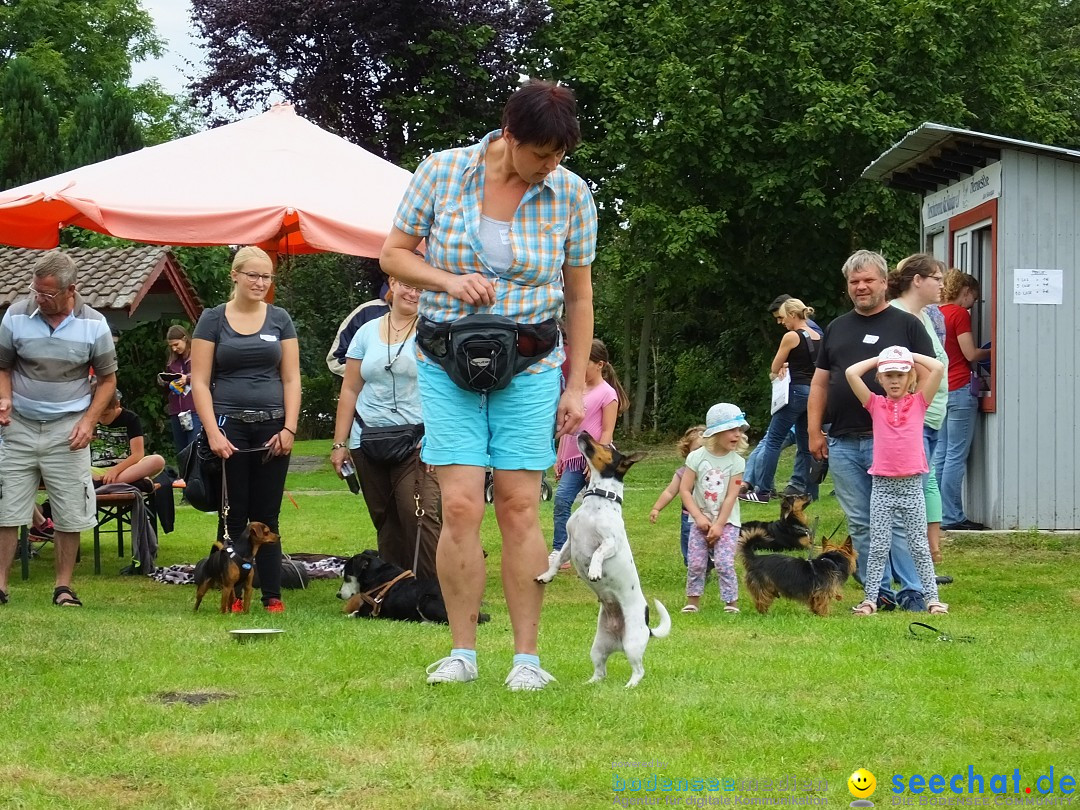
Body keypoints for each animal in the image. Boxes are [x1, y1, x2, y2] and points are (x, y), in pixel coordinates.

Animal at [537, 434, 669, 686]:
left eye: (607, 447)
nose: (583, 432)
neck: (597, 502)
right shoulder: (570, 542)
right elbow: (557, 560)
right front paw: (546, 575)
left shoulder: (610, 542)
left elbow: (597, 553)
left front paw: (594, 571)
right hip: (598, 647)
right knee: (601, 671)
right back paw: (589, 684)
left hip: (633, 643)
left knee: (639, 670)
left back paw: (630, 686)